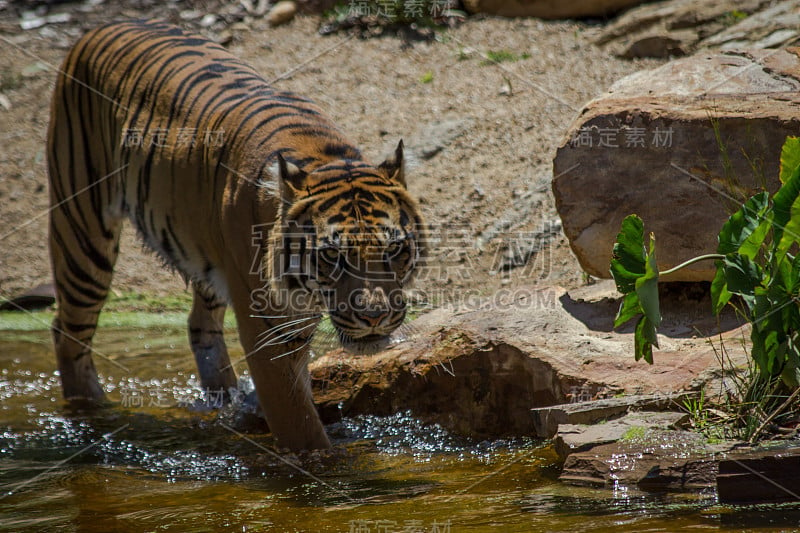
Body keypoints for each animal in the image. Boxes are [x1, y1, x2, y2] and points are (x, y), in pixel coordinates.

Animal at [46, 19, 424, 448]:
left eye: (395, 249)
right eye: (332, 256)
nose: (375, 317)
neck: (324, 158)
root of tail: (100, 26)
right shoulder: (271, 335)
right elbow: (302, 431)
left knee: (199, 325)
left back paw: (223, 400)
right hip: (82, 232)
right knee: (67, 332)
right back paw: (91, 413)